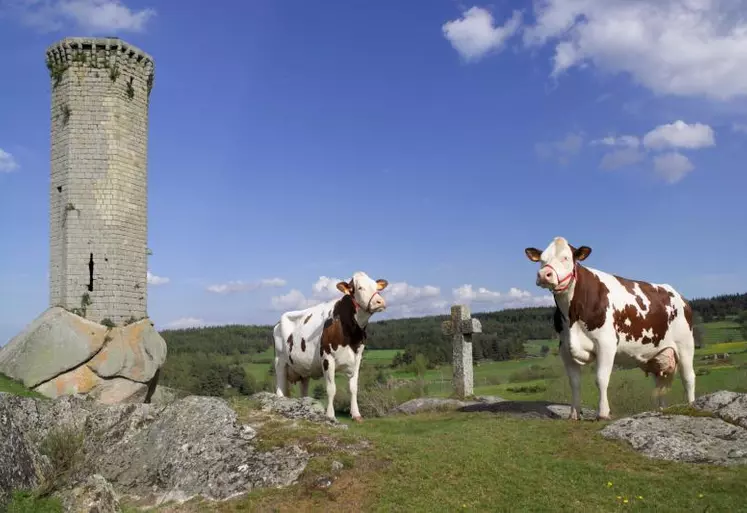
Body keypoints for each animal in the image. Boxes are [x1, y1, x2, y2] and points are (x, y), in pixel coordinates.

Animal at [274, 270, 392, 422]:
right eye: (360, 287)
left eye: (377, 287)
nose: (380, 302)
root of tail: (277, 323)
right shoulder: (327, 358)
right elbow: (331, 389)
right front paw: (330, 416)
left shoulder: (357, 358)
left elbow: (353, 387)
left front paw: (356, 414)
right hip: (280, 362)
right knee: (280, 388)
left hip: (302, 368)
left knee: (303, 390)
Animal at [524, 236, 696, 420]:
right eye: (542, 260)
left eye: (566, 258)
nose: (544, 275)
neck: (572, 317)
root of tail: (679, 296)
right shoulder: (565, 348)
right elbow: (575, 382)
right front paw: (574, 414)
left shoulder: (606, 343)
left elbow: (601, 379)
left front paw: (603, 413)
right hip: (658, 355)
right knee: (661, 385)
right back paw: (661, 411)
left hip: (685, 345)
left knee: (688, 377)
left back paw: (692, 406)